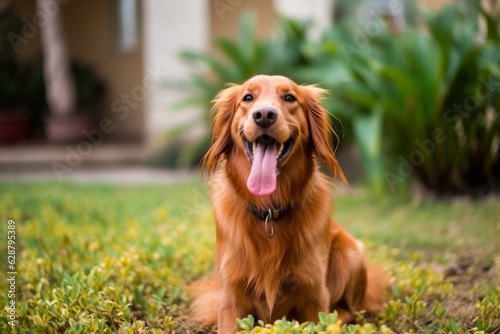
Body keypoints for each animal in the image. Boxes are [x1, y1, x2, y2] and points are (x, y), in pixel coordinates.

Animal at [190, 74, 386, 332]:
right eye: (248, 97)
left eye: (290, 98)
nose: (264, 114)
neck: (269, 211)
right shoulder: (230, 299)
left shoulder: (315, 297)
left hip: (352, 252)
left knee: (349, 310)